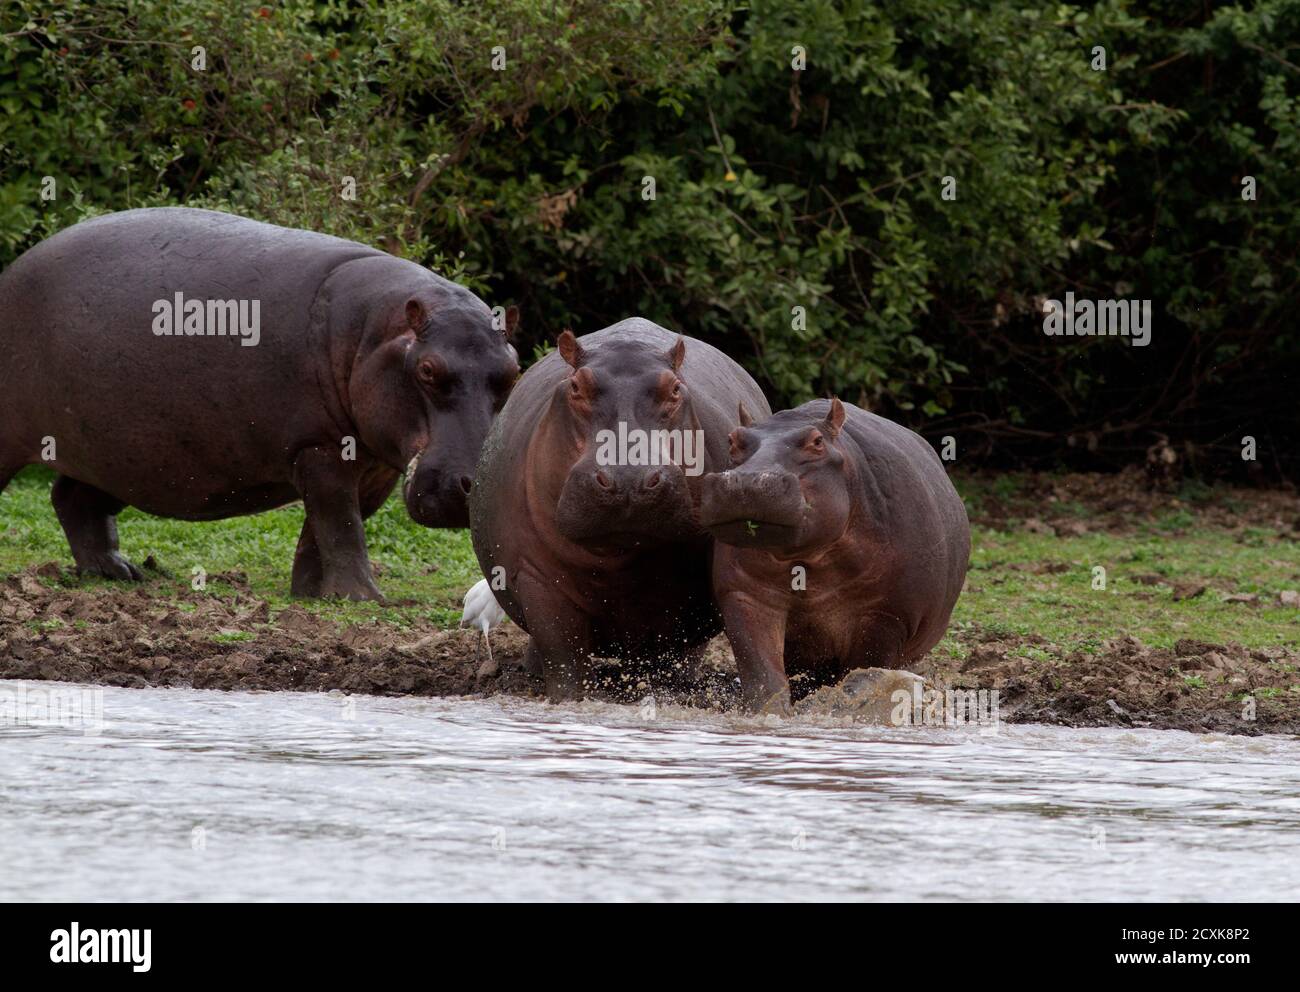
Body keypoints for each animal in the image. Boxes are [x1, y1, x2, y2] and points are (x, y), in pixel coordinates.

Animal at [0, 205, 517, 600]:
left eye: (512, 370)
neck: (374, 332)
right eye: (427, 369)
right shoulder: (319, 447)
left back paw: (119, 572)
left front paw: (311, 596)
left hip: (113, 452)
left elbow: (322, 532)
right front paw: (365, 597)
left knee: (72, 499)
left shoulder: (373, 463)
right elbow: (341, 525)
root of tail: (13, 270)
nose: (475, 483)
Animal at [470, 318, 764, 696]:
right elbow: (563, 657)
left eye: (675, 389)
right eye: (576, 386)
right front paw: (568, 697)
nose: (628, 478)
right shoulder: (536, 576)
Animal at [702, 395, 967, 712]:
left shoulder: (887, 614)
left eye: (817, 442)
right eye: (733, 439)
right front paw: (772, 713)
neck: (806, 559)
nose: (746, 481)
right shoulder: (745, 594)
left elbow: (864, 672)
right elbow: (763, 674)